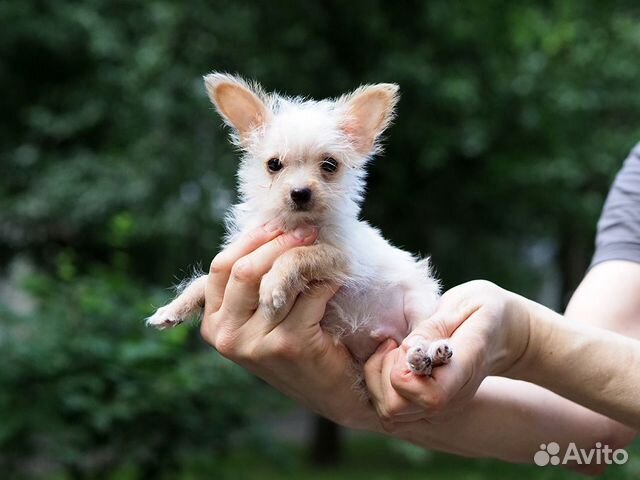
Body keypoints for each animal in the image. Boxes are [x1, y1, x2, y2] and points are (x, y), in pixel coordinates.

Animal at [148, 73, 452, 376]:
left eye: (329, 165)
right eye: (274, 164)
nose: (300, 192)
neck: (293, 223)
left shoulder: (344, 258)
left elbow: (298, 254)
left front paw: (273, 286)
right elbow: (204, 280)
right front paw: (173, 308)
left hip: (420, 301)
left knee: (423, 332)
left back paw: (432, 351)